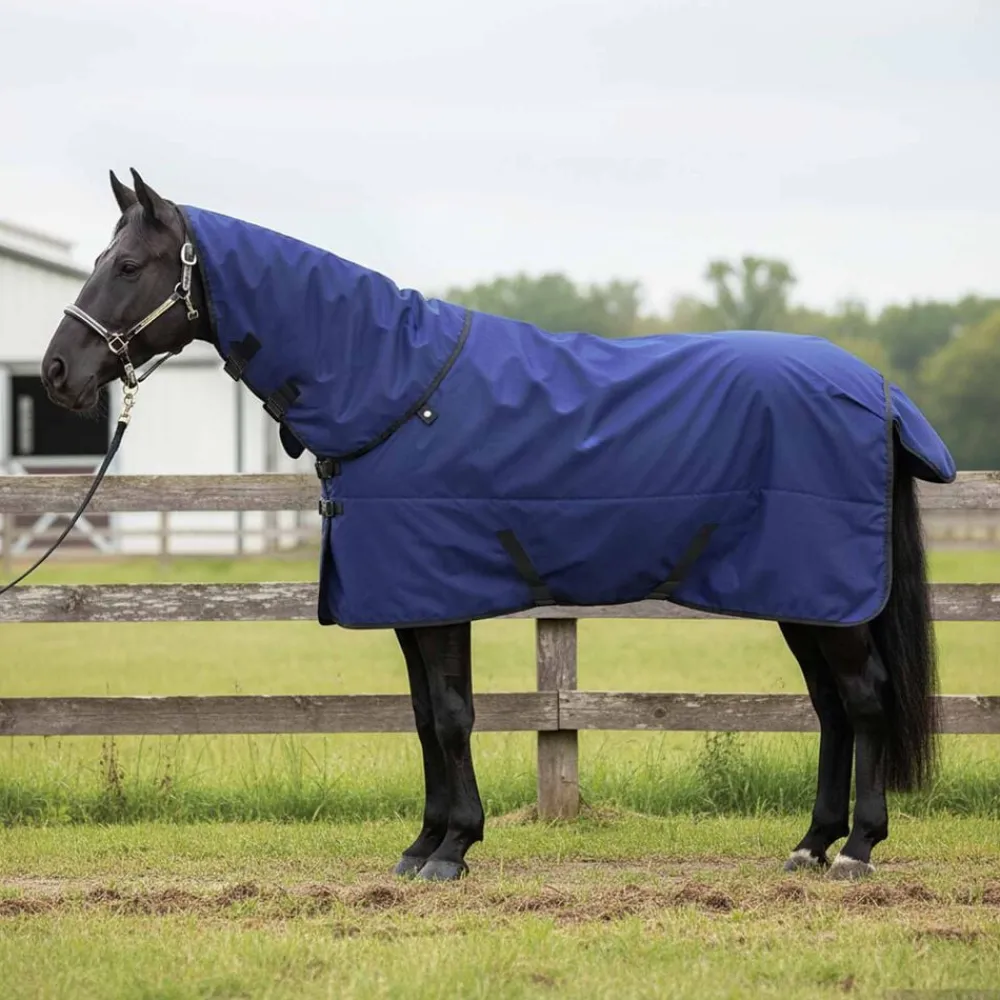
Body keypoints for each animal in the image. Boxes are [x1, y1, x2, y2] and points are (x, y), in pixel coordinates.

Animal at [39, 168, 956, 882]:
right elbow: (422, 716)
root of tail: (876, 390)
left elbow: (450, 715)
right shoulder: (410, 601)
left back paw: (857, 849)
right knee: (832, 707)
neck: (394, 387)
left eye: (127, 264)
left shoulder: (438, 596)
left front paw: (452, 850)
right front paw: (423, 845)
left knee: (864, 699)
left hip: (824, 594)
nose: (56, 372)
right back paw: (810, 844)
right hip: (805, 597)